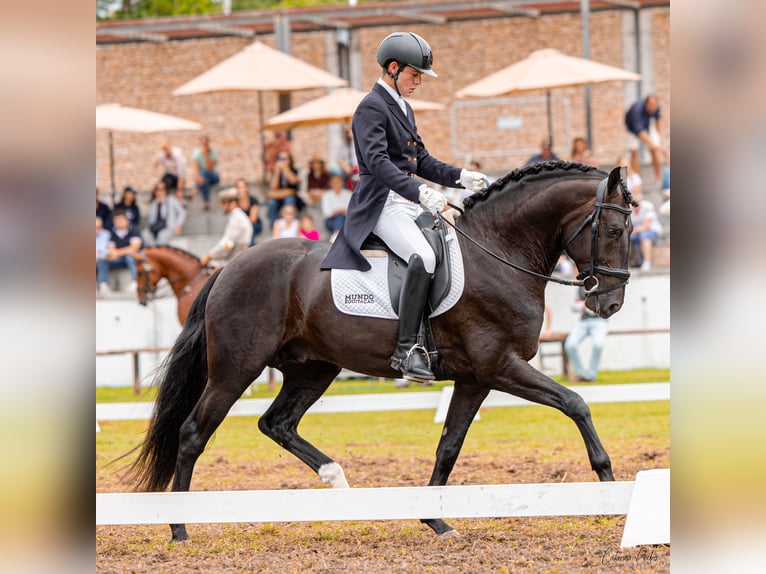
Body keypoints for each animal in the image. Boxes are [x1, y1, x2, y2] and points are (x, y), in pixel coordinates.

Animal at [130, 163, 636, 544]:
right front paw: (609, 488)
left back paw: (338, 480)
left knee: (276, 423)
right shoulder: (501, 366)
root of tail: (229, 267)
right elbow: (576, 403)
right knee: (193, 433)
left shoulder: (476, 378)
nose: (610, 305)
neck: (497, 252)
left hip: (313, 368)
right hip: (235, 369)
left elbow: (449, 445)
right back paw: (179, 528)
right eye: (613, 229)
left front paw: (436, 520)